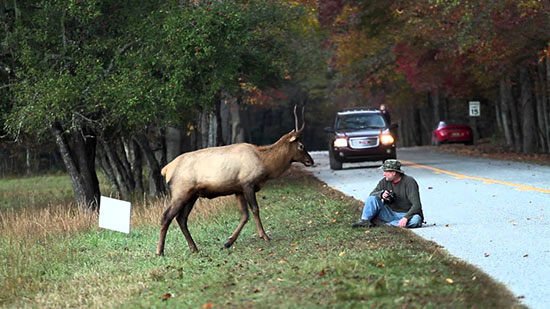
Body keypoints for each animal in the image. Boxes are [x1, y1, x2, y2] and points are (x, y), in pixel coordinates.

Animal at [157, 104, 316, 254]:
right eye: (301, 146)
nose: (310, 161)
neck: (265, 165)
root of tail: (166, 169)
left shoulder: (238, 189)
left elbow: (244, 215)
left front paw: (228, 242)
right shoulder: (247, 183)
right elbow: (255, 210)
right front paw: (264, 236)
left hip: (192, 195)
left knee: (181, 219)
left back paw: (194, 248)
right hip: (180, 191)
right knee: (166, 216)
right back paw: (160, 251)